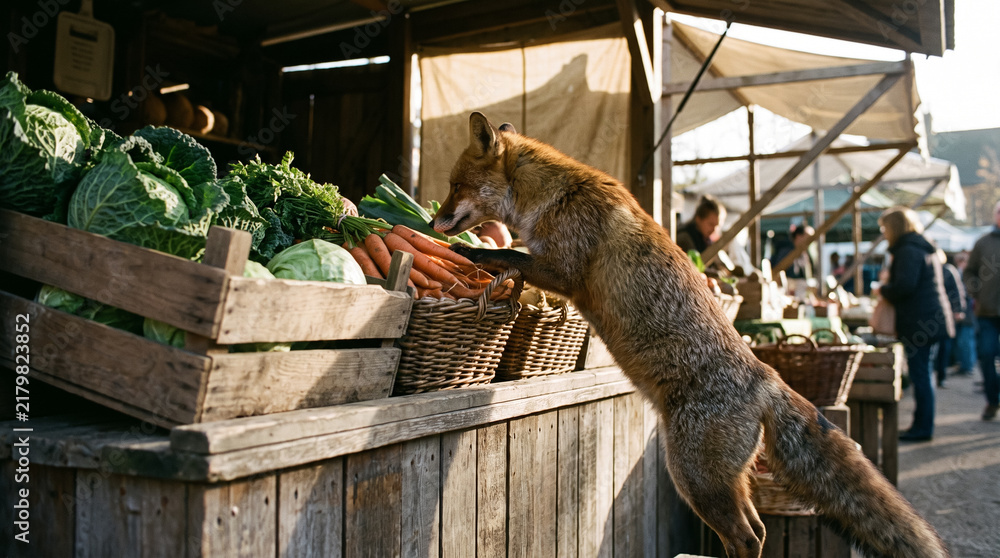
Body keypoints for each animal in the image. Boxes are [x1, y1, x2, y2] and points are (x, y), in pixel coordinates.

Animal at [429, 112, 949, 558]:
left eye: (456, 185)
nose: (434, 219)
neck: (557, 195)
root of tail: (766, 378)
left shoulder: (564, 270)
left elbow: (508, 254)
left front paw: (464, 253)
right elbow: (514, 259)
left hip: (694, 478)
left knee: (746, 538)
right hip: (721, 482)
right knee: (757, 531)